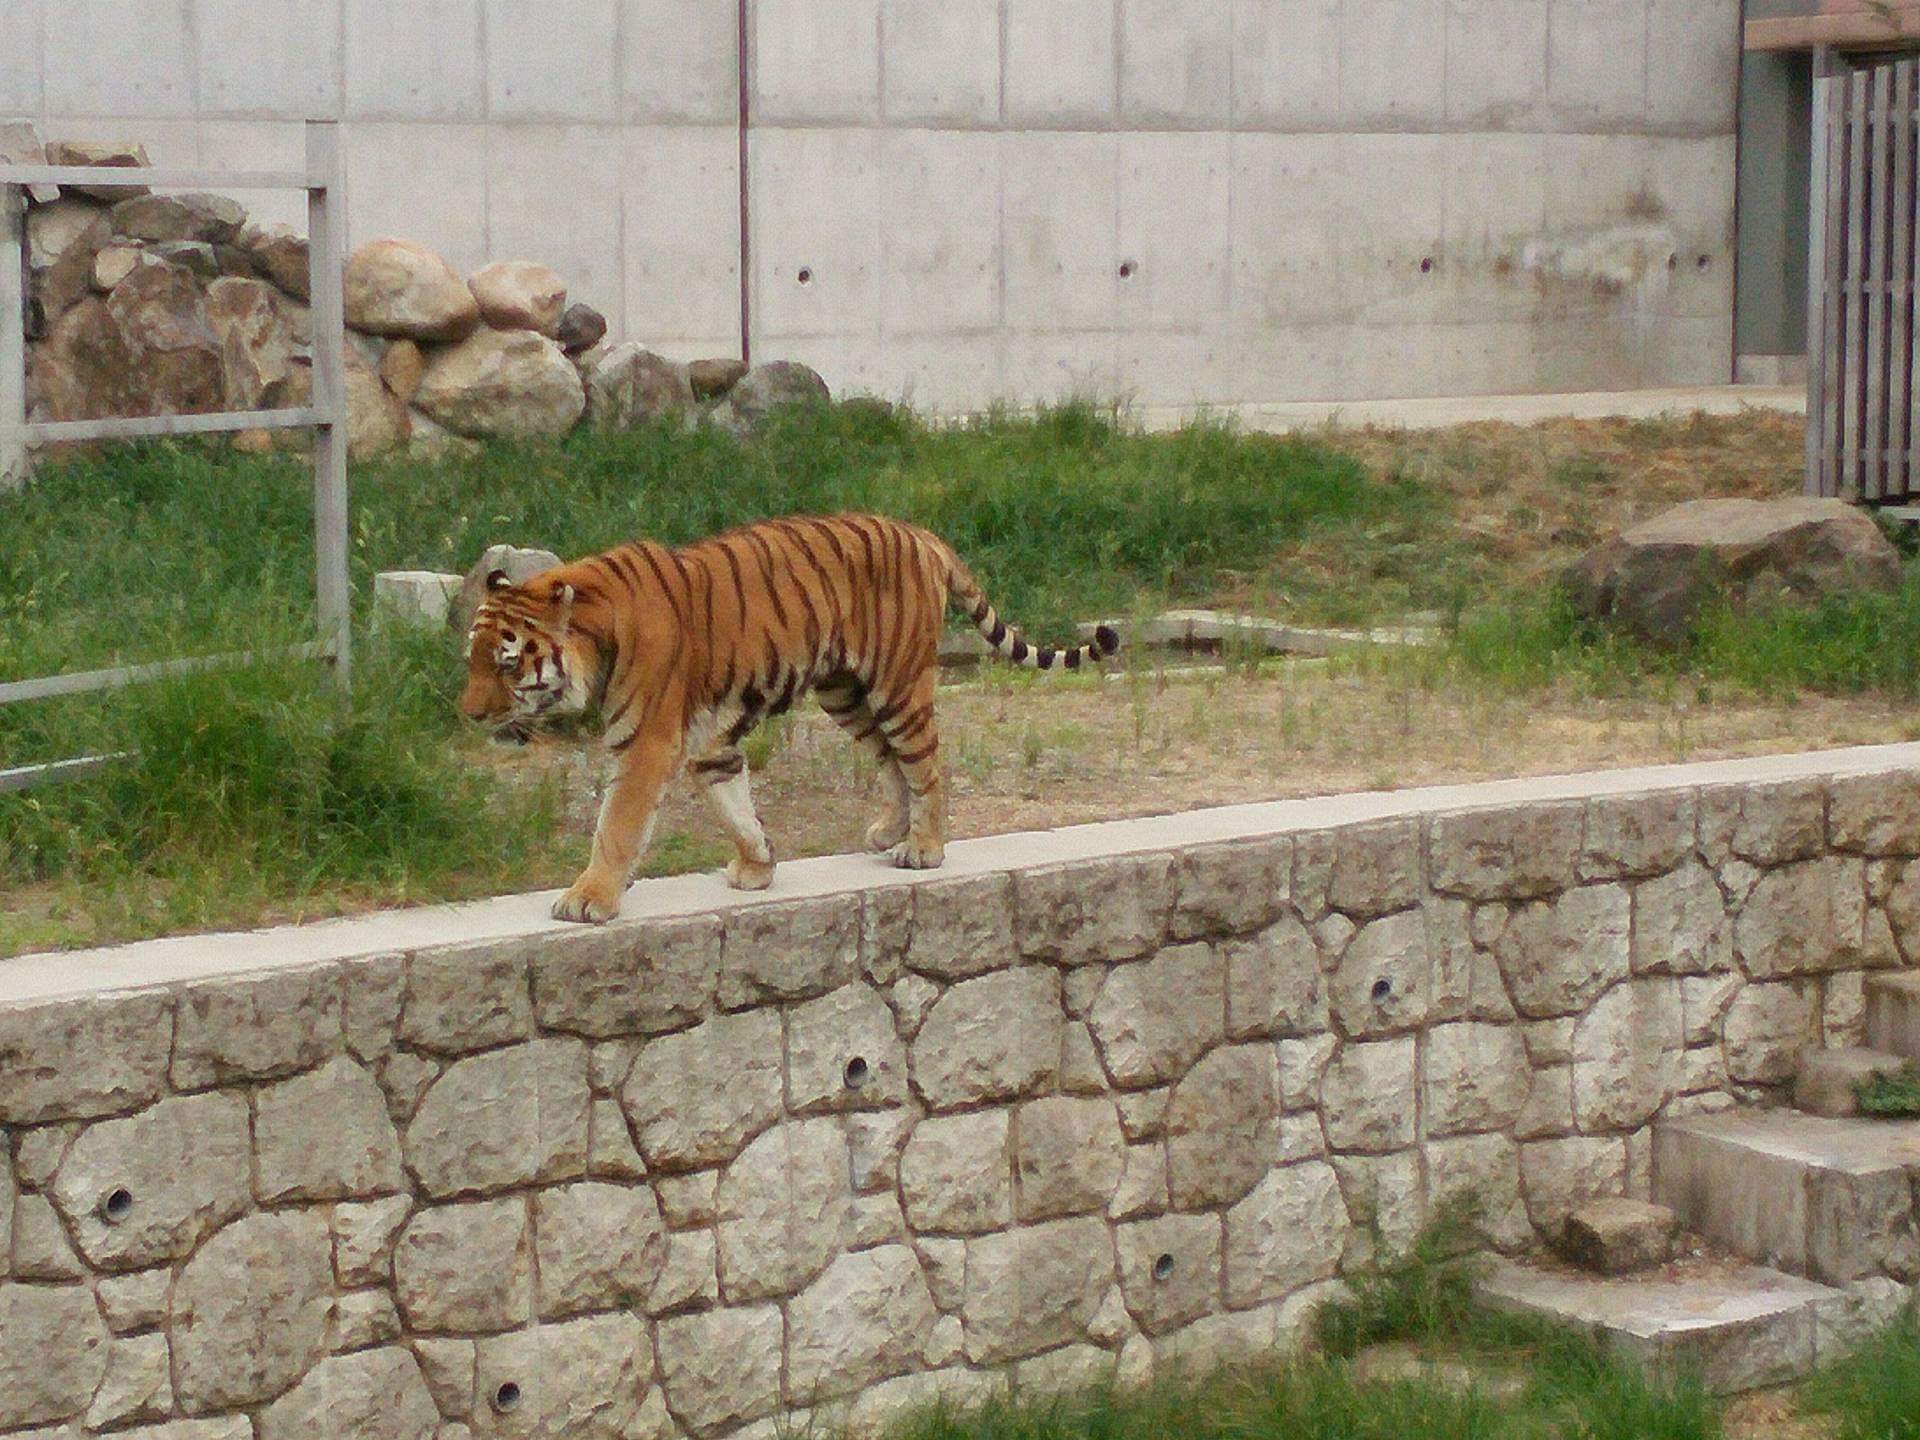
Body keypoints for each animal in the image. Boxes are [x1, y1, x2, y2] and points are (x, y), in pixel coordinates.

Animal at [462, 514, 1121, 925]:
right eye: (470, 658)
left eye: (505, 663)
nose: (468, 714)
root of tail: (922, 534)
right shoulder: (710, 742)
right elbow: (736, 805)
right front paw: (759, 865)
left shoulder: (645, 744)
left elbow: (616, 826)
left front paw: (588, 897)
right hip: (846, 693)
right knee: (892, 762)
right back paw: (889, 832)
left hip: (898, 686)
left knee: (928, 766)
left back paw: (924, 848)